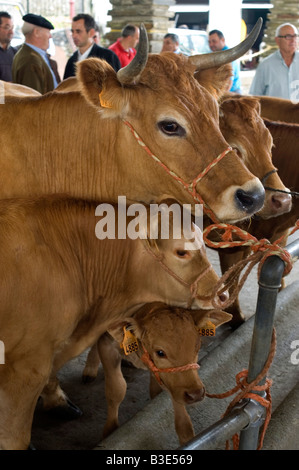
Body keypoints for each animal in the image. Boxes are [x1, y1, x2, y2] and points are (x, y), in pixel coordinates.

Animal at [81, 302, 231, 446]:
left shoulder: (169, 380)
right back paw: (90, 368)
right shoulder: (107, 346)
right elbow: (116, 390)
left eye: (197, 347)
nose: (196, 394)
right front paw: (110, 432)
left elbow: (164, 399)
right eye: (160, 352)